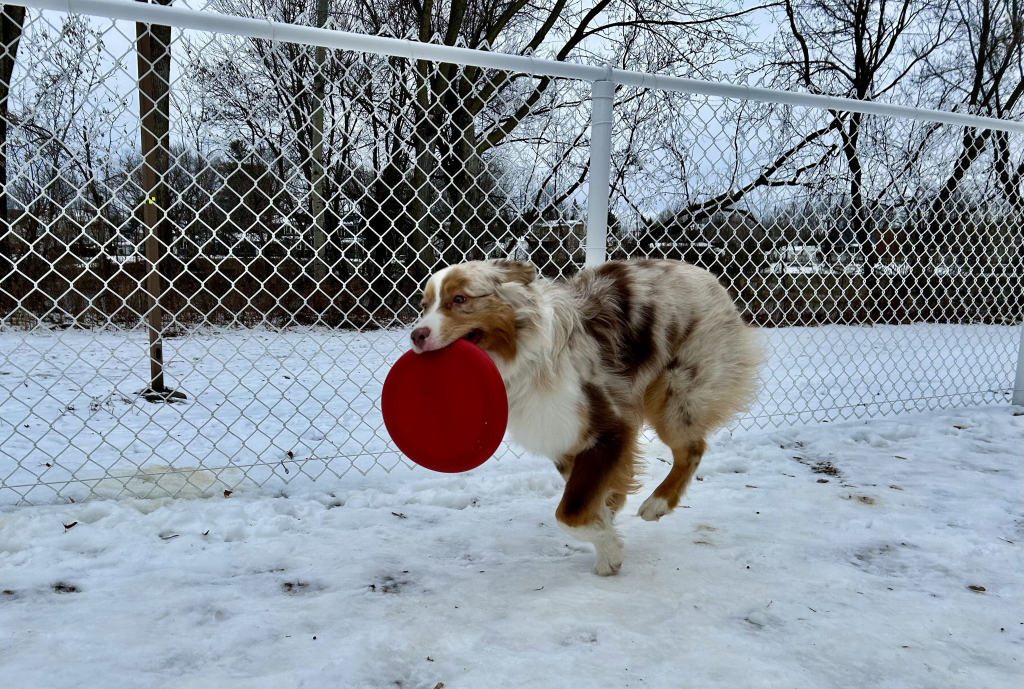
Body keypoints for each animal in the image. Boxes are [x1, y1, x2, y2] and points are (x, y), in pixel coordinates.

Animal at [407, 257, 761, 573]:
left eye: (459, 299)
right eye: (424, 306)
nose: (416, 335)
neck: (526, 357)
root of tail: (705, 274)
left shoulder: (610, 426)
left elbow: (570, 513)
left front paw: (609, 551)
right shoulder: (561, 436)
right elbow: (586, 499)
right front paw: (606, 530)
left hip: (678, 393)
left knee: (692, 448)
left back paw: (657, 503)